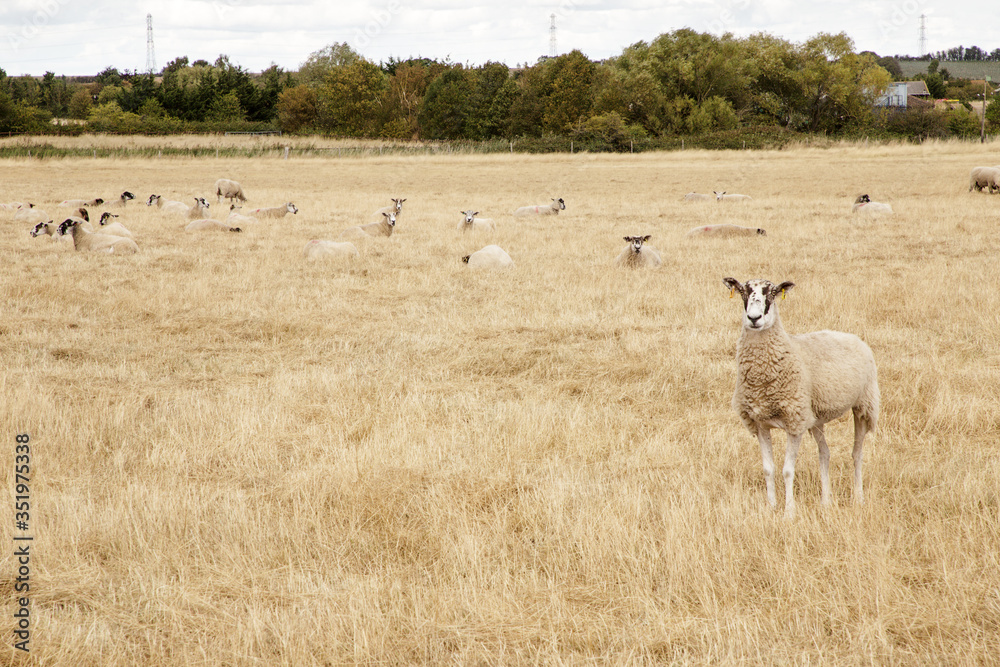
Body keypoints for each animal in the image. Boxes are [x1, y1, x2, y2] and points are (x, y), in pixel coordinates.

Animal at [722, 277, 879, 517]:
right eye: (743, 292)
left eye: (772, 293)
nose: (754, 318)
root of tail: (850, 335)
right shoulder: (761, 423)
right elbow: (768, 469)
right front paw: (771, 507)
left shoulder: (794, 423)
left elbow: (787, 470)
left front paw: (789, 512)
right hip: (815, 417)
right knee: (824, 453)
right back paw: (825, 501)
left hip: (864, 404)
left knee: (857, 453)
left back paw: (858, 498)